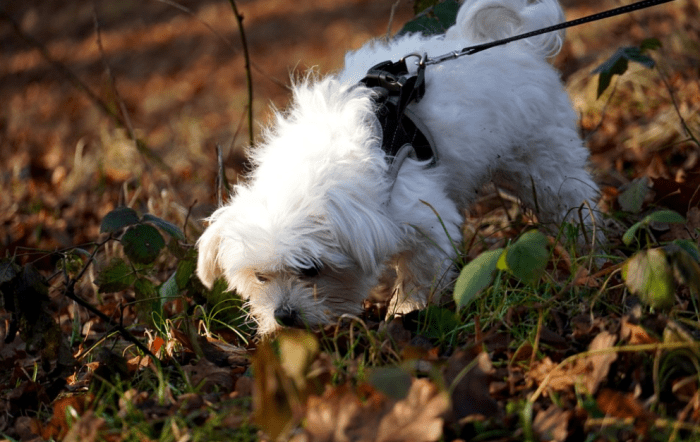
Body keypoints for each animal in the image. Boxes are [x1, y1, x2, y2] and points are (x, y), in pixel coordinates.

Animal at [197, 0, 600, 334]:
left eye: (310, 269)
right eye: (260, 277)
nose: (283, 316)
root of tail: (505, 43)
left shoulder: (423, 219)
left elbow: (420, 275)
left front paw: (406, 311)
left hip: (543, 156)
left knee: (571, 196)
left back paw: (587, 244)